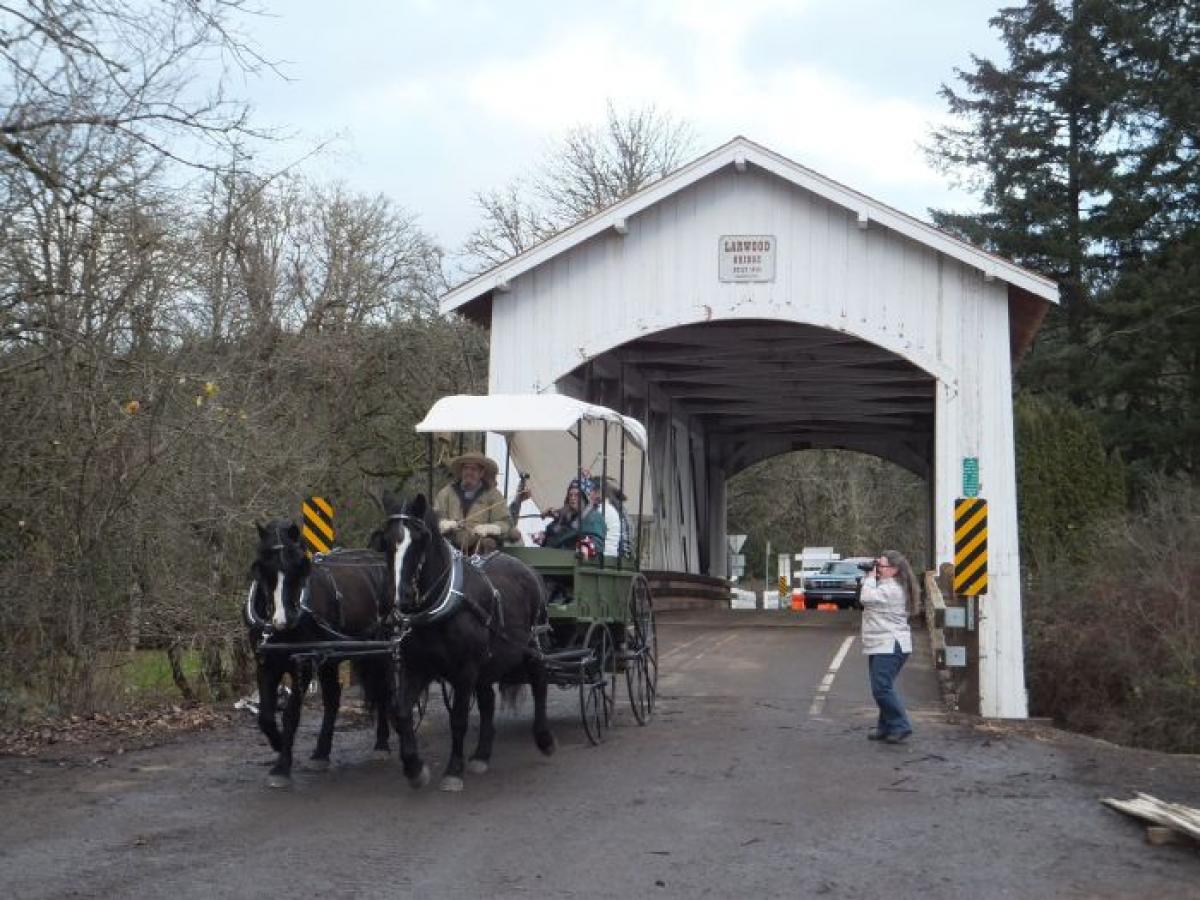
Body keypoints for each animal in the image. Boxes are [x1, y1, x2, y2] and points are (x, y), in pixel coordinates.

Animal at [244, 520, 391, 787]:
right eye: (263, 568)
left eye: (298, 566)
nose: (283, 621)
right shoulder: (266, 663)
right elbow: (266, 716)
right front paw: (278, 744)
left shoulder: (303, 664)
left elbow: (291, 714)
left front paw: (282, 765)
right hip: (329, 658)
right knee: (333, 698)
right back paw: (321, 753)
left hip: (380, 651)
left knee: (382, 691)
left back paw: (382, 744)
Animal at [376, 489, 554, 792]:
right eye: (386, 540)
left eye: (420, 539)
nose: (400, 597)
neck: (441, 604)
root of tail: (528, 571)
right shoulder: (417, 668)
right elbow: (402, 713)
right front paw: (414, 768)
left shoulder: (465, 670)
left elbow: (458, 719)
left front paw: (453, 771)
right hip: (488, 663)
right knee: (488, 701)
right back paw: (482, 754)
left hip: (532, 647)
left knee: (540, 686)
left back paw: (543, 739)